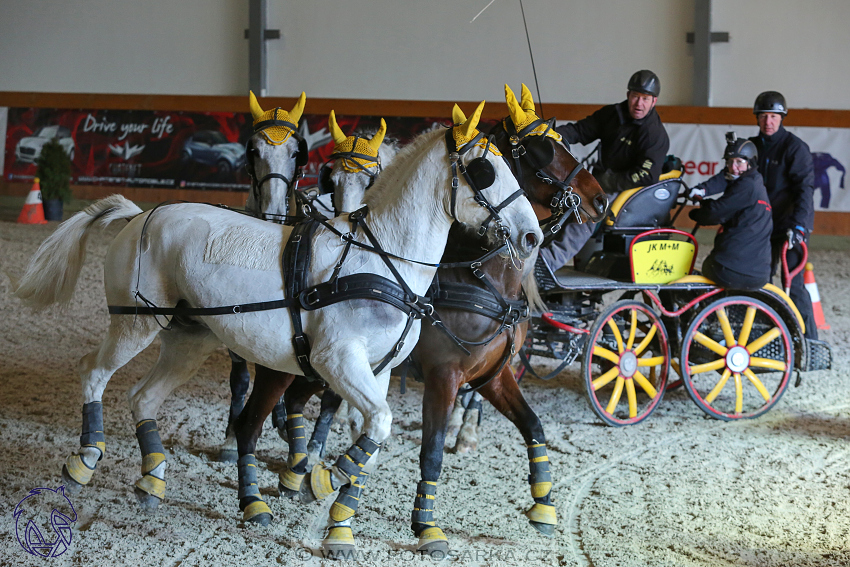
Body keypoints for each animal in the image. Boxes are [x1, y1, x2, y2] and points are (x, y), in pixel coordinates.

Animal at [13, 95, 540, 556]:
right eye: (485, 170)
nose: (533, 235)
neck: (380, 259)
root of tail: (141, 213)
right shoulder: (336, 360)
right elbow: (377, 424)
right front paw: (317, 482)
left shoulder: (381, 370)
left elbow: (374, 432)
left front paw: (337, 521)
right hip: (136, 324)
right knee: (94, 372)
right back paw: (84, 461)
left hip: (188, 340)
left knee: (143, 397)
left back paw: (152, 482)